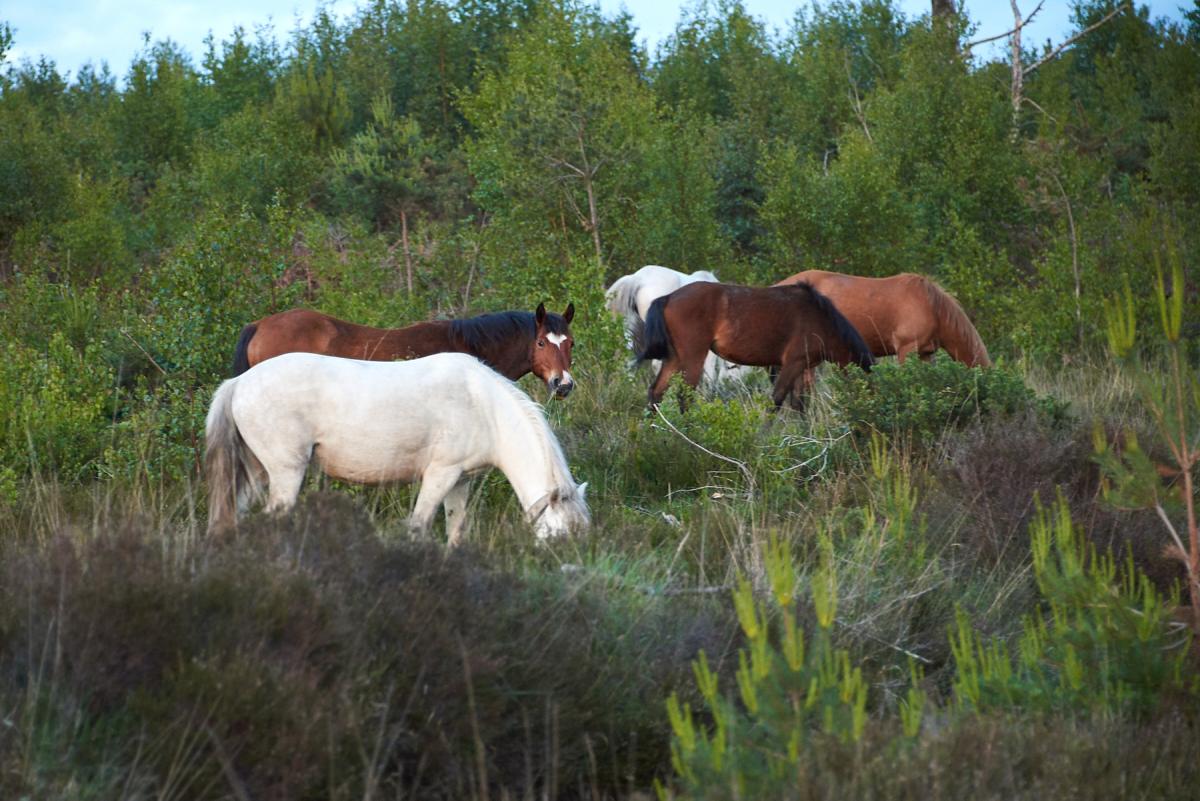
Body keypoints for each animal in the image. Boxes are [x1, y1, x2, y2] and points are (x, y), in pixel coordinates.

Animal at [206, 352, 590, 544]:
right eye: (560, 538)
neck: (484, 405)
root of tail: (238, 383)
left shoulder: (460, 481)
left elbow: (456, 531)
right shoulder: (440, 474)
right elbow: (419, 526)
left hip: (256, 473)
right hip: (286, 474)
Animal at [638, 282, 874, 409]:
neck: (820, 319)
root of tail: (668, 297)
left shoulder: (803, 367)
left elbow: (800, 404)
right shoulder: (793, 363)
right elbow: (777, 400)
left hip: (674, 358)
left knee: (656, 392)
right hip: (692, 358)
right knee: (684, 397)